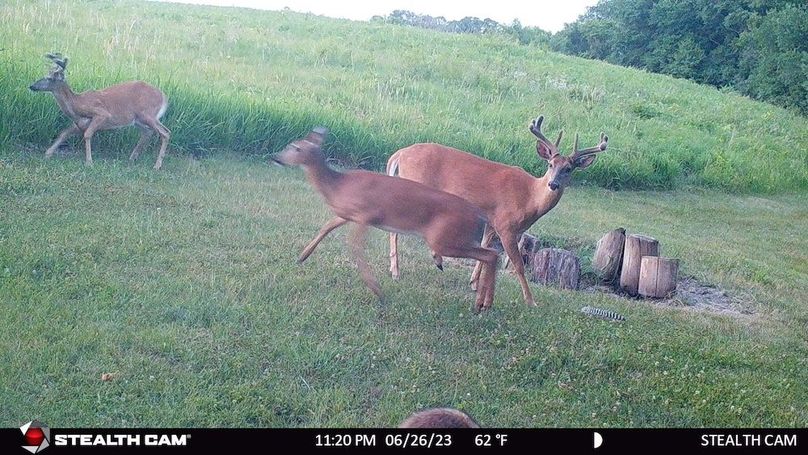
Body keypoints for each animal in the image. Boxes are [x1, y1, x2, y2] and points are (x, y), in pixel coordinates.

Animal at [28, 53, 171, 169]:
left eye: (50, 78)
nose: (32, 86)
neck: (77, 104)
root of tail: (164, 96)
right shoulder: (79, 123)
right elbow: (63, 134)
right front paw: (47, 154)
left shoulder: (102, 114)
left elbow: (87, 135)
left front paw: (89, 162)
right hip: (138, 120)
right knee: (149, 132)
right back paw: (132, 158)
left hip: (147, 114)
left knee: (165, 132)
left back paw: (157, 165)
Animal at [271, 127, 499, 313]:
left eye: (296, 147)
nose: (275, 156)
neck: (337, 186)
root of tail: (477, 214)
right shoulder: (347, 214)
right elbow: (326, 227)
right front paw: (302, 256)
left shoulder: (366, 215)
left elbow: (354, 247)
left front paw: (378, 292)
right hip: (452, 238)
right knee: (492, 252)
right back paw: (483, 302)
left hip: (444, 239)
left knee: (491, 254)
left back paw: (482, 302)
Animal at [387, 115, 608, 308]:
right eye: (550, 164)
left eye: (569, 169)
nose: (553, 184)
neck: (530, 198)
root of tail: (399, 154)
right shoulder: (506, 224)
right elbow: (518, 265)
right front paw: (531, 301)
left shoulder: (493, 222)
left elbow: (485, 247)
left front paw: (474, 283)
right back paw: (397, 271)